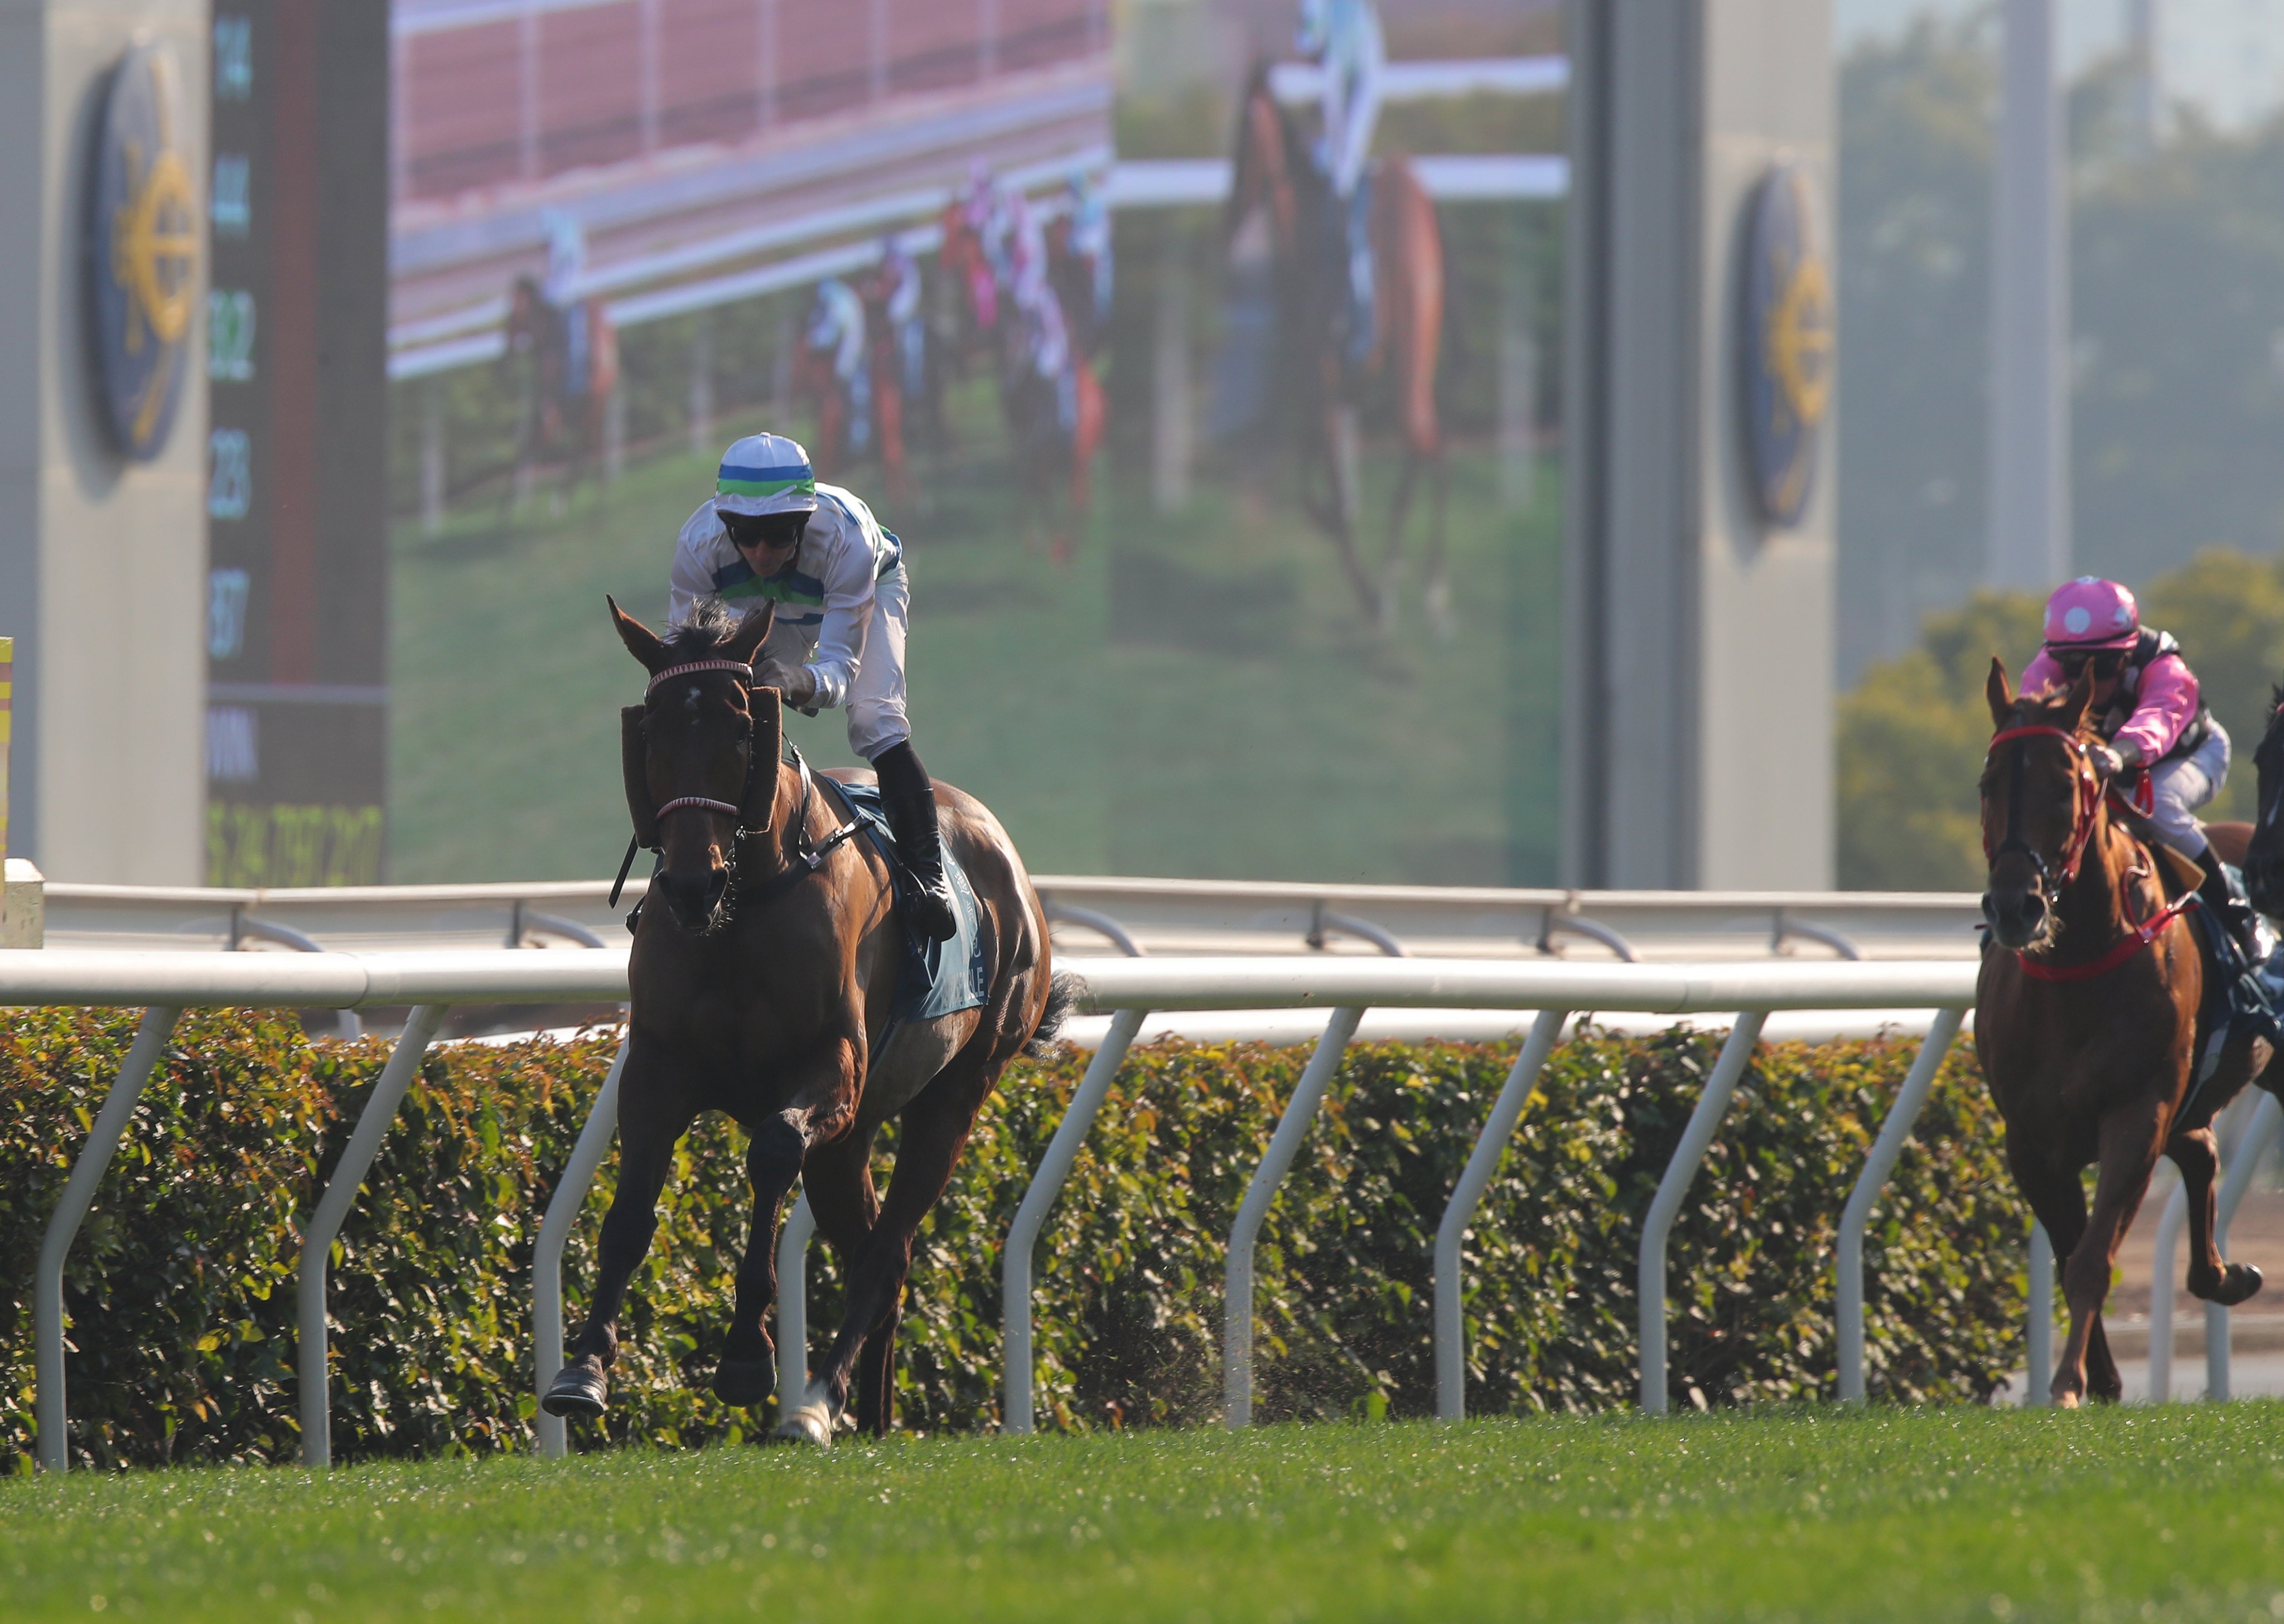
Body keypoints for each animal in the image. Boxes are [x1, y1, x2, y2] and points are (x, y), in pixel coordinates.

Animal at [543, 598, 1069, 1452]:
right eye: (651, 730)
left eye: (739, 729)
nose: (689, 885)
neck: (741, 910)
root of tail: (1012, 868)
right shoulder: (657, 1067)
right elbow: (627, 1212)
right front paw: (583, 1367)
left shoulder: (832, 1071)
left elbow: (772, 1151)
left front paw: (745, 1356)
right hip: (853, 1139)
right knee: (874, 1253)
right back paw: (872, 1418)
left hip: (957, 1091)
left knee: (887, 1253)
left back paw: (819, 1399)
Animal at [1233, 65, 1443, 635]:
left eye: (1240, 135)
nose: (1231, 207)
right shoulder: (1336, 388)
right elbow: (1321, 486)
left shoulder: (1319, 381)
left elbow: (1324, 483)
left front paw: (1370, 595)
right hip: (1417, 353)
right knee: (1430, 439)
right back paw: (1428, 588)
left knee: (1421, 439)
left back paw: (1404, 589)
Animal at [1973, 653, 2275, 1406]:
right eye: (1988, 784)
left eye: (2066, 786)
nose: (2016, 908)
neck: (2074, 969)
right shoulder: (2030, 1137)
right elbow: (2069, 1249)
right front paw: (2102, 1376)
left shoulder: (2138, 1111)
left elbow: (2092, 1256)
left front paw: (2069, 1381)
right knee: (2201, 1150)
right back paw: (2224, 1274)